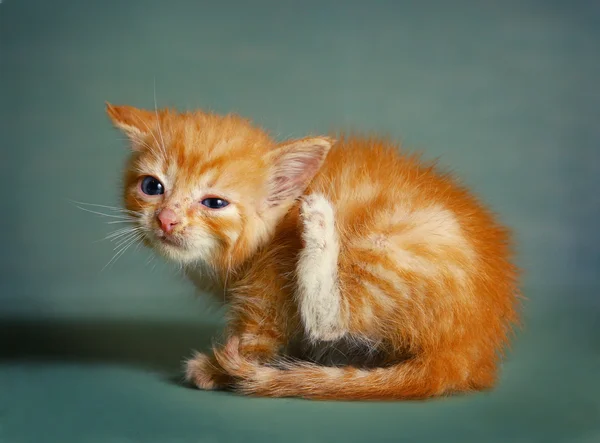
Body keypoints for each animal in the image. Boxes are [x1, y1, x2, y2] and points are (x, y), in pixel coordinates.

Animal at [105, 102, 516, 400]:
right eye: (151, 187)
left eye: (214, 203)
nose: (167, 220)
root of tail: (470, 348)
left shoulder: (270, 287)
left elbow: (256, 341)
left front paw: (214, 371)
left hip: (387, 244)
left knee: (332, 320)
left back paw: (319, 224)